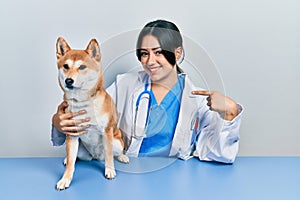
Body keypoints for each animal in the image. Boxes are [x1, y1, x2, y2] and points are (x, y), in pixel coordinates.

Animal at [55, 37, 129, 191]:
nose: (68, 80)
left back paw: (122, 157)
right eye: (66, 66)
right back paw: (66, 159)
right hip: (80, 149)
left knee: (115, 152)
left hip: (116, 142)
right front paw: (65, 179)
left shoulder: (106, 132)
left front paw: (110, 170)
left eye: (82, 67)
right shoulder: (72, 133)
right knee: (73, 157)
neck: (83, 103)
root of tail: (96, 156)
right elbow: (71, 163)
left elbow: (109, 156)